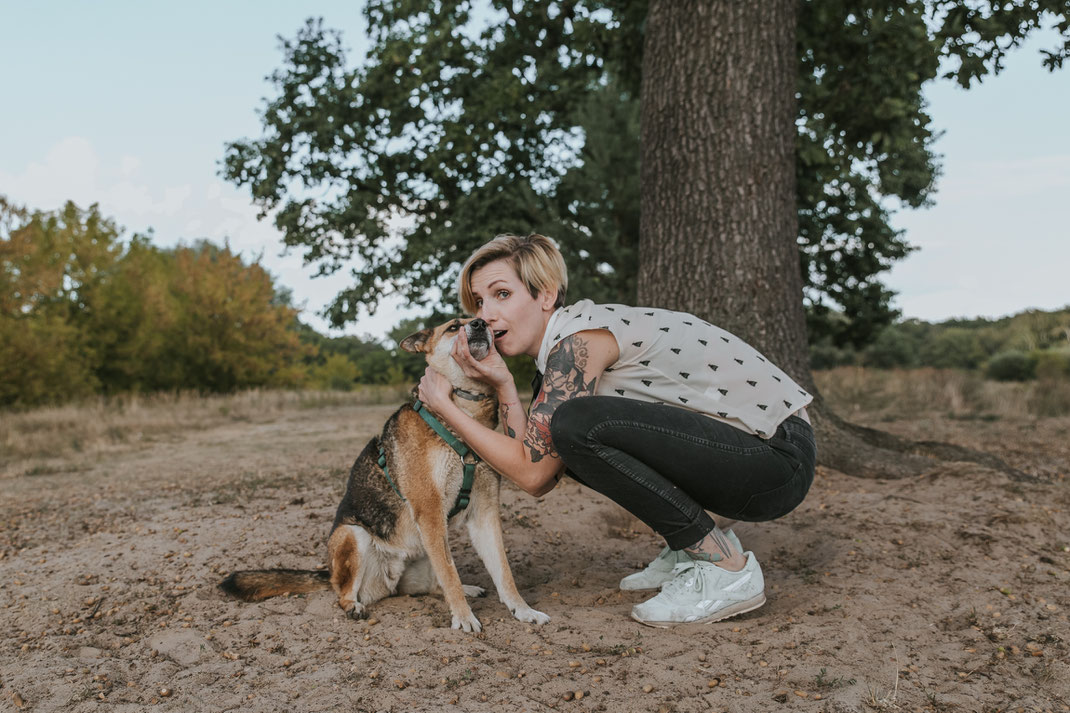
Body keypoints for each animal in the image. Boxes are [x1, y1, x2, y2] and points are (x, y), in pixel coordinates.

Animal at [219, 314, 552, 629]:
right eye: (454, 326)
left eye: (485, 323)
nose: (481, 324)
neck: (462, 418)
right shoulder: (430, 511)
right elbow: (451, 574)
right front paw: (464, 618)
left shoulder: (483, 512)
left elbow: (501, 571)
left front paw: (523, 610)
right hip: (353, 535)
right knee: (345, 593)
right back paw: (353, 606)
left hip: (426, 551)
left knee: (437, 584)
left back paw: (468, 589)